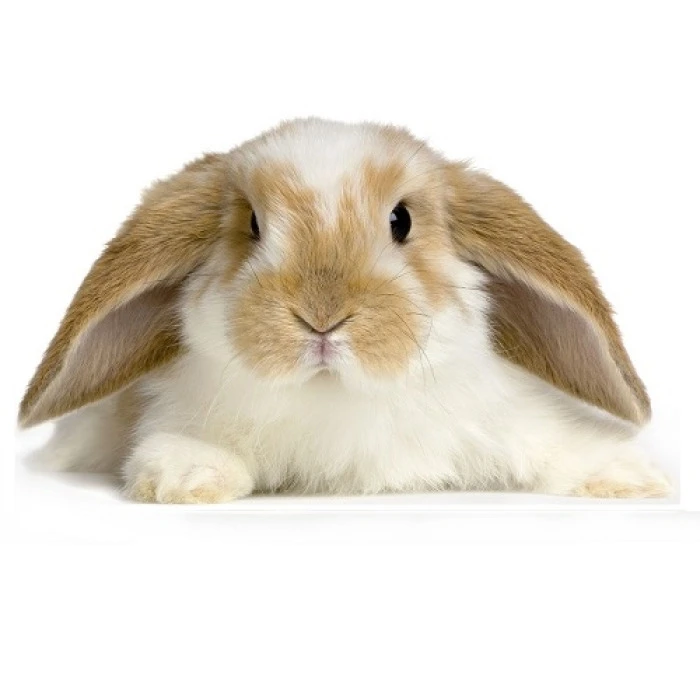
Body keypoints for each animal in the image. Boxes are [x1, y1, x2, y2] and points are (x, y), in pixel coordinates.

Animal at [18, 117, 671, 503]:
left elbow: (555, 446)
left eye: (401, 220)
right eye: (252, 225)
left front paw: (632, 476)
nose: (322, 317)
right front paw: (185, 475)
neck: (338, 397)